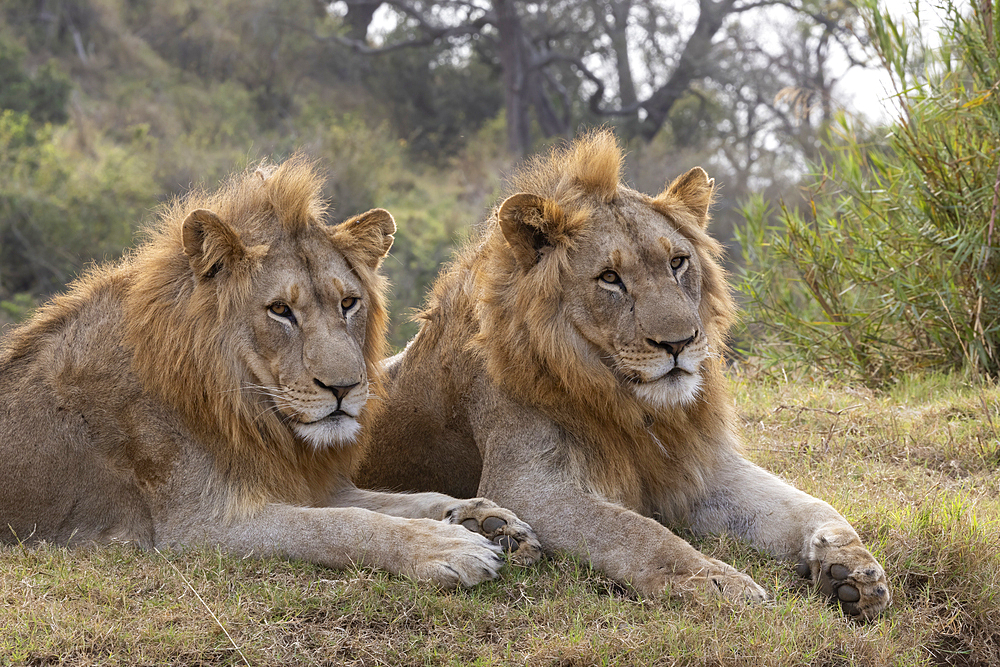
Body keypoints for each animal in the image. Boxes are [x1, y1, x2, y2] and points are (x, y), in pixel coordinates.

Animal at [0, 154, 540, 588]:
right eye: (280, 310)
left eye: (348, 303)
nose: (344, 388)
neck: (251, 413)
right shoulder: (199, 525)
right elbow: (345, 525)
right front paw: (448, 547)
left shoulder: (311, 482)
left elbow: (406, 499)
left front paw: (486, 519)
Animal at [356, 132, 896, 620]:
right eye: (610, 279)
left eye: (678, 262)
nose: (679, 342)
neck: (634, 406)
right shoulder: (526, 486)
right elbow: (639, 533)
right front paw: (718, 582)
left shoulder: (698, 467)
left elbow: (810, 506)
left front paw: (850, 568)